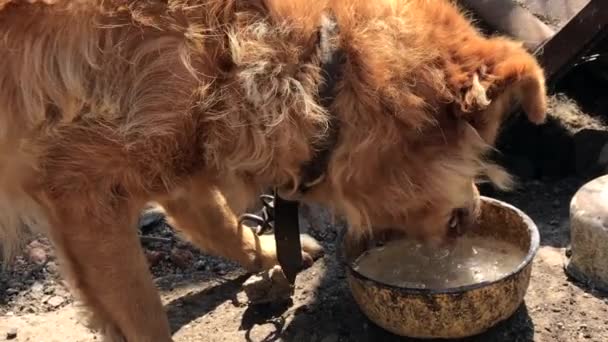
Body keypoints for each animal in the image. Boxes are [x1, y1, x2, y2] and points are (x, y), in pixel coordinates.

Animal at [1, 0, 548, 340]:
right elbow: (144, 316)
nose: (475, 214)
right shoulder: (83, 191)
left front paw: (266, 251)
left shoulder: (173, 153)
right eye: (482, 149)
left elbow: (217, 221)